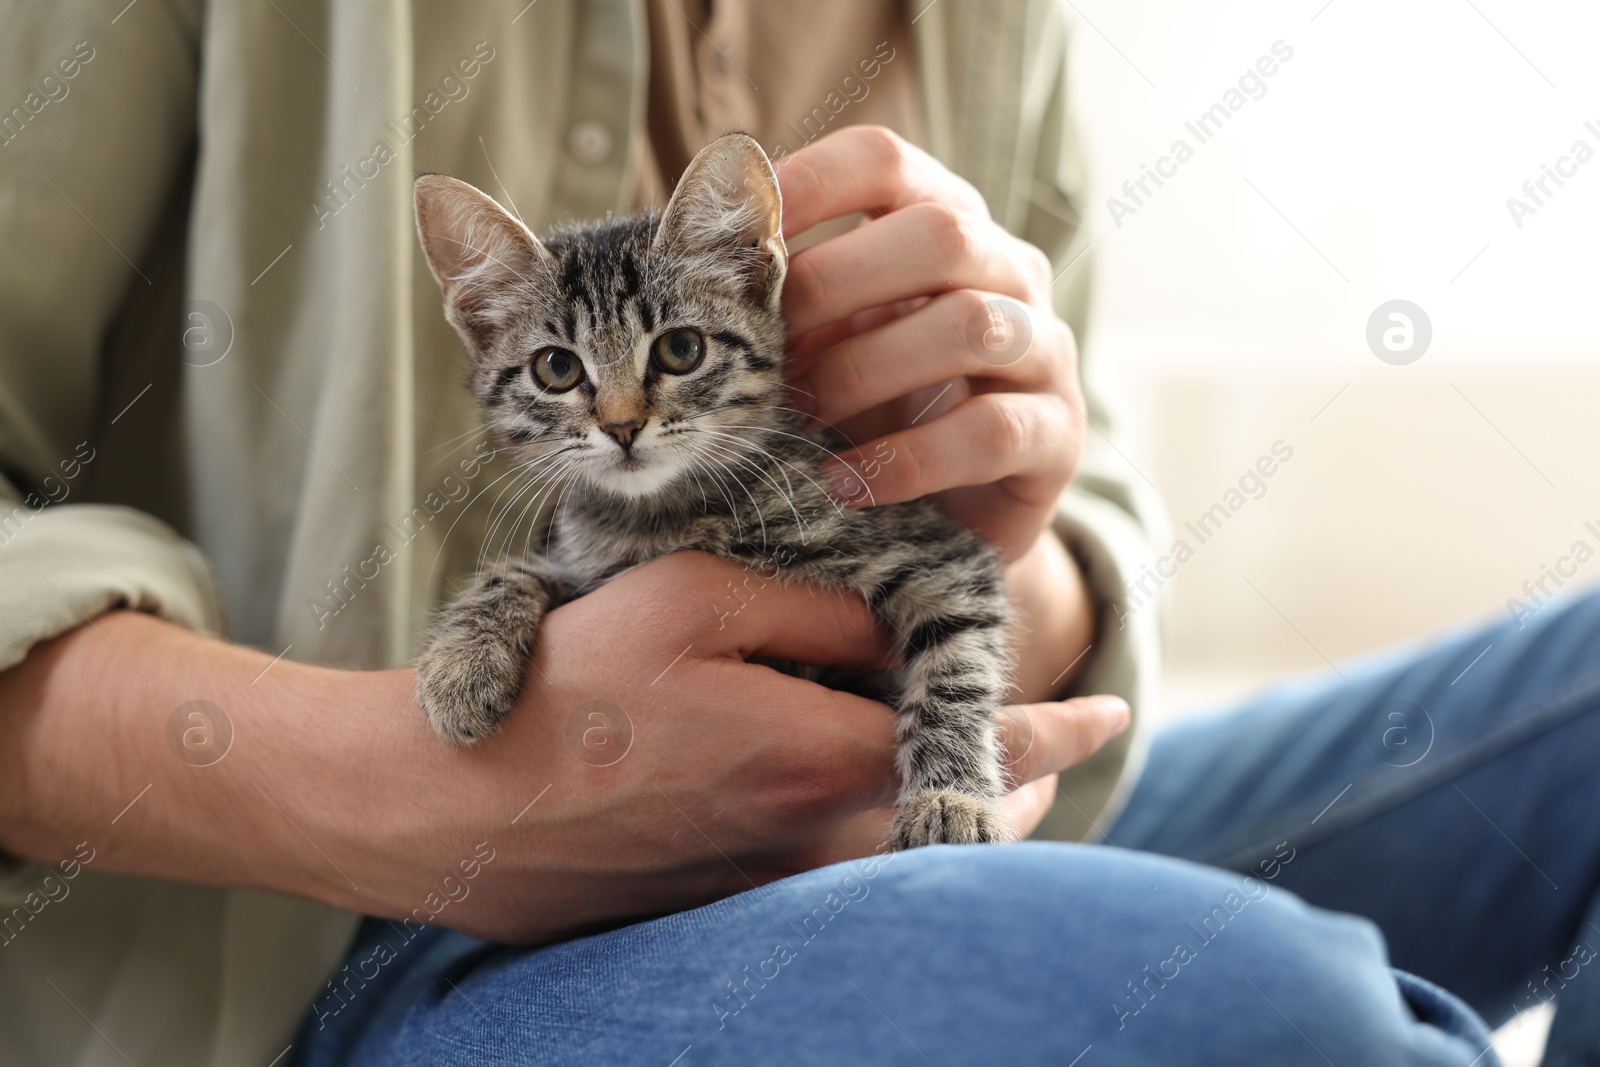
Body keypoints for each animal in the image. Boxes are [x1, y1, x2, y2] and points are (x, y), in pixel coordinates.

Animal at [412, 135, 1011, 851]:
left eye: (680, 349)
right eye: (556, 367)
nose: (621, 426)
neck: (668, 515)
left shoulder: (940, 554)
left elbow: (956, 672)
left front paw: (952, 800)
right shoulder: (589, 562)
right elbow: (519, 569)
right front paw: (460, 664)